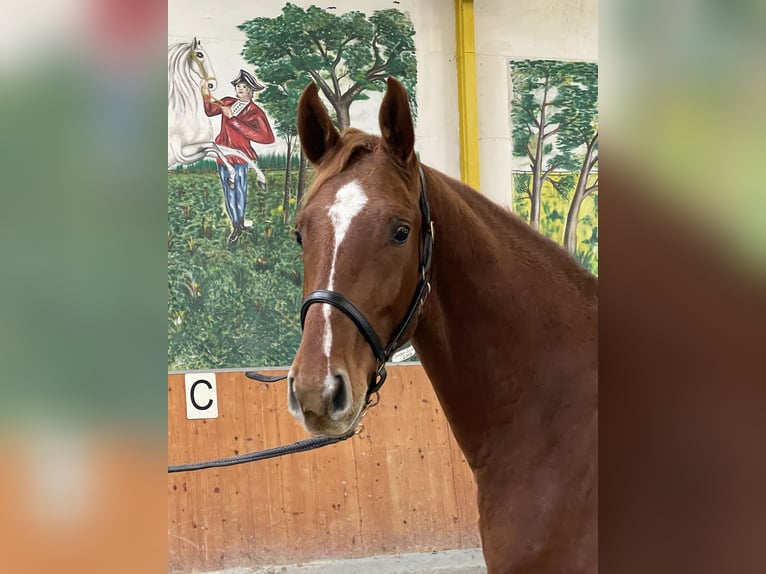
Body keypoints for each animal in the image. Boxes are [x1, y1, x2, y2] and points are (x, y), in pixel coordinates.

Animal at [168, 38, 268, 191]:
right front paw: (232, 177)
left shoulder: (192, 149)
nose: (211, 84)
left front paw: (261, 180)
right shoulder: (181, 153)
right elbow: (214, 147)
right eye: (199, 55)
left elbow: (236, 152)